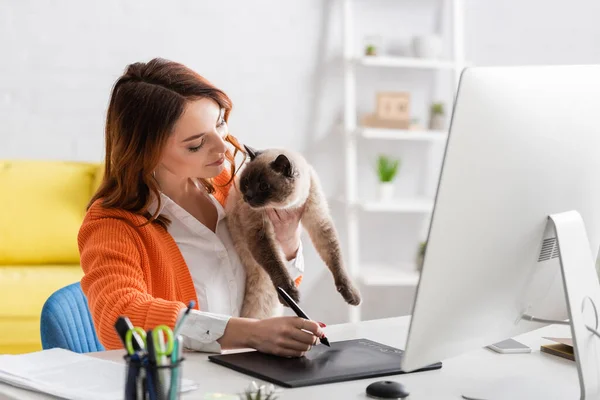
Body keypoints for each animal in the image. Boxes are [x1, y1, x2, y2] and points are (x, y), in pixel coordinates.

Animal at [225, 145, 360, 318]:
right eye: (247, 182)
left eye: (263, 186)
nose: (248, 197)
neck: (288, 206)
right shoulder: (260, 233)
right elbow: (276, 264)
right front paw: (290, 295)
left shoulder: (319, 222)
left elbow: (336, 260)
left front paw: (351, 295)